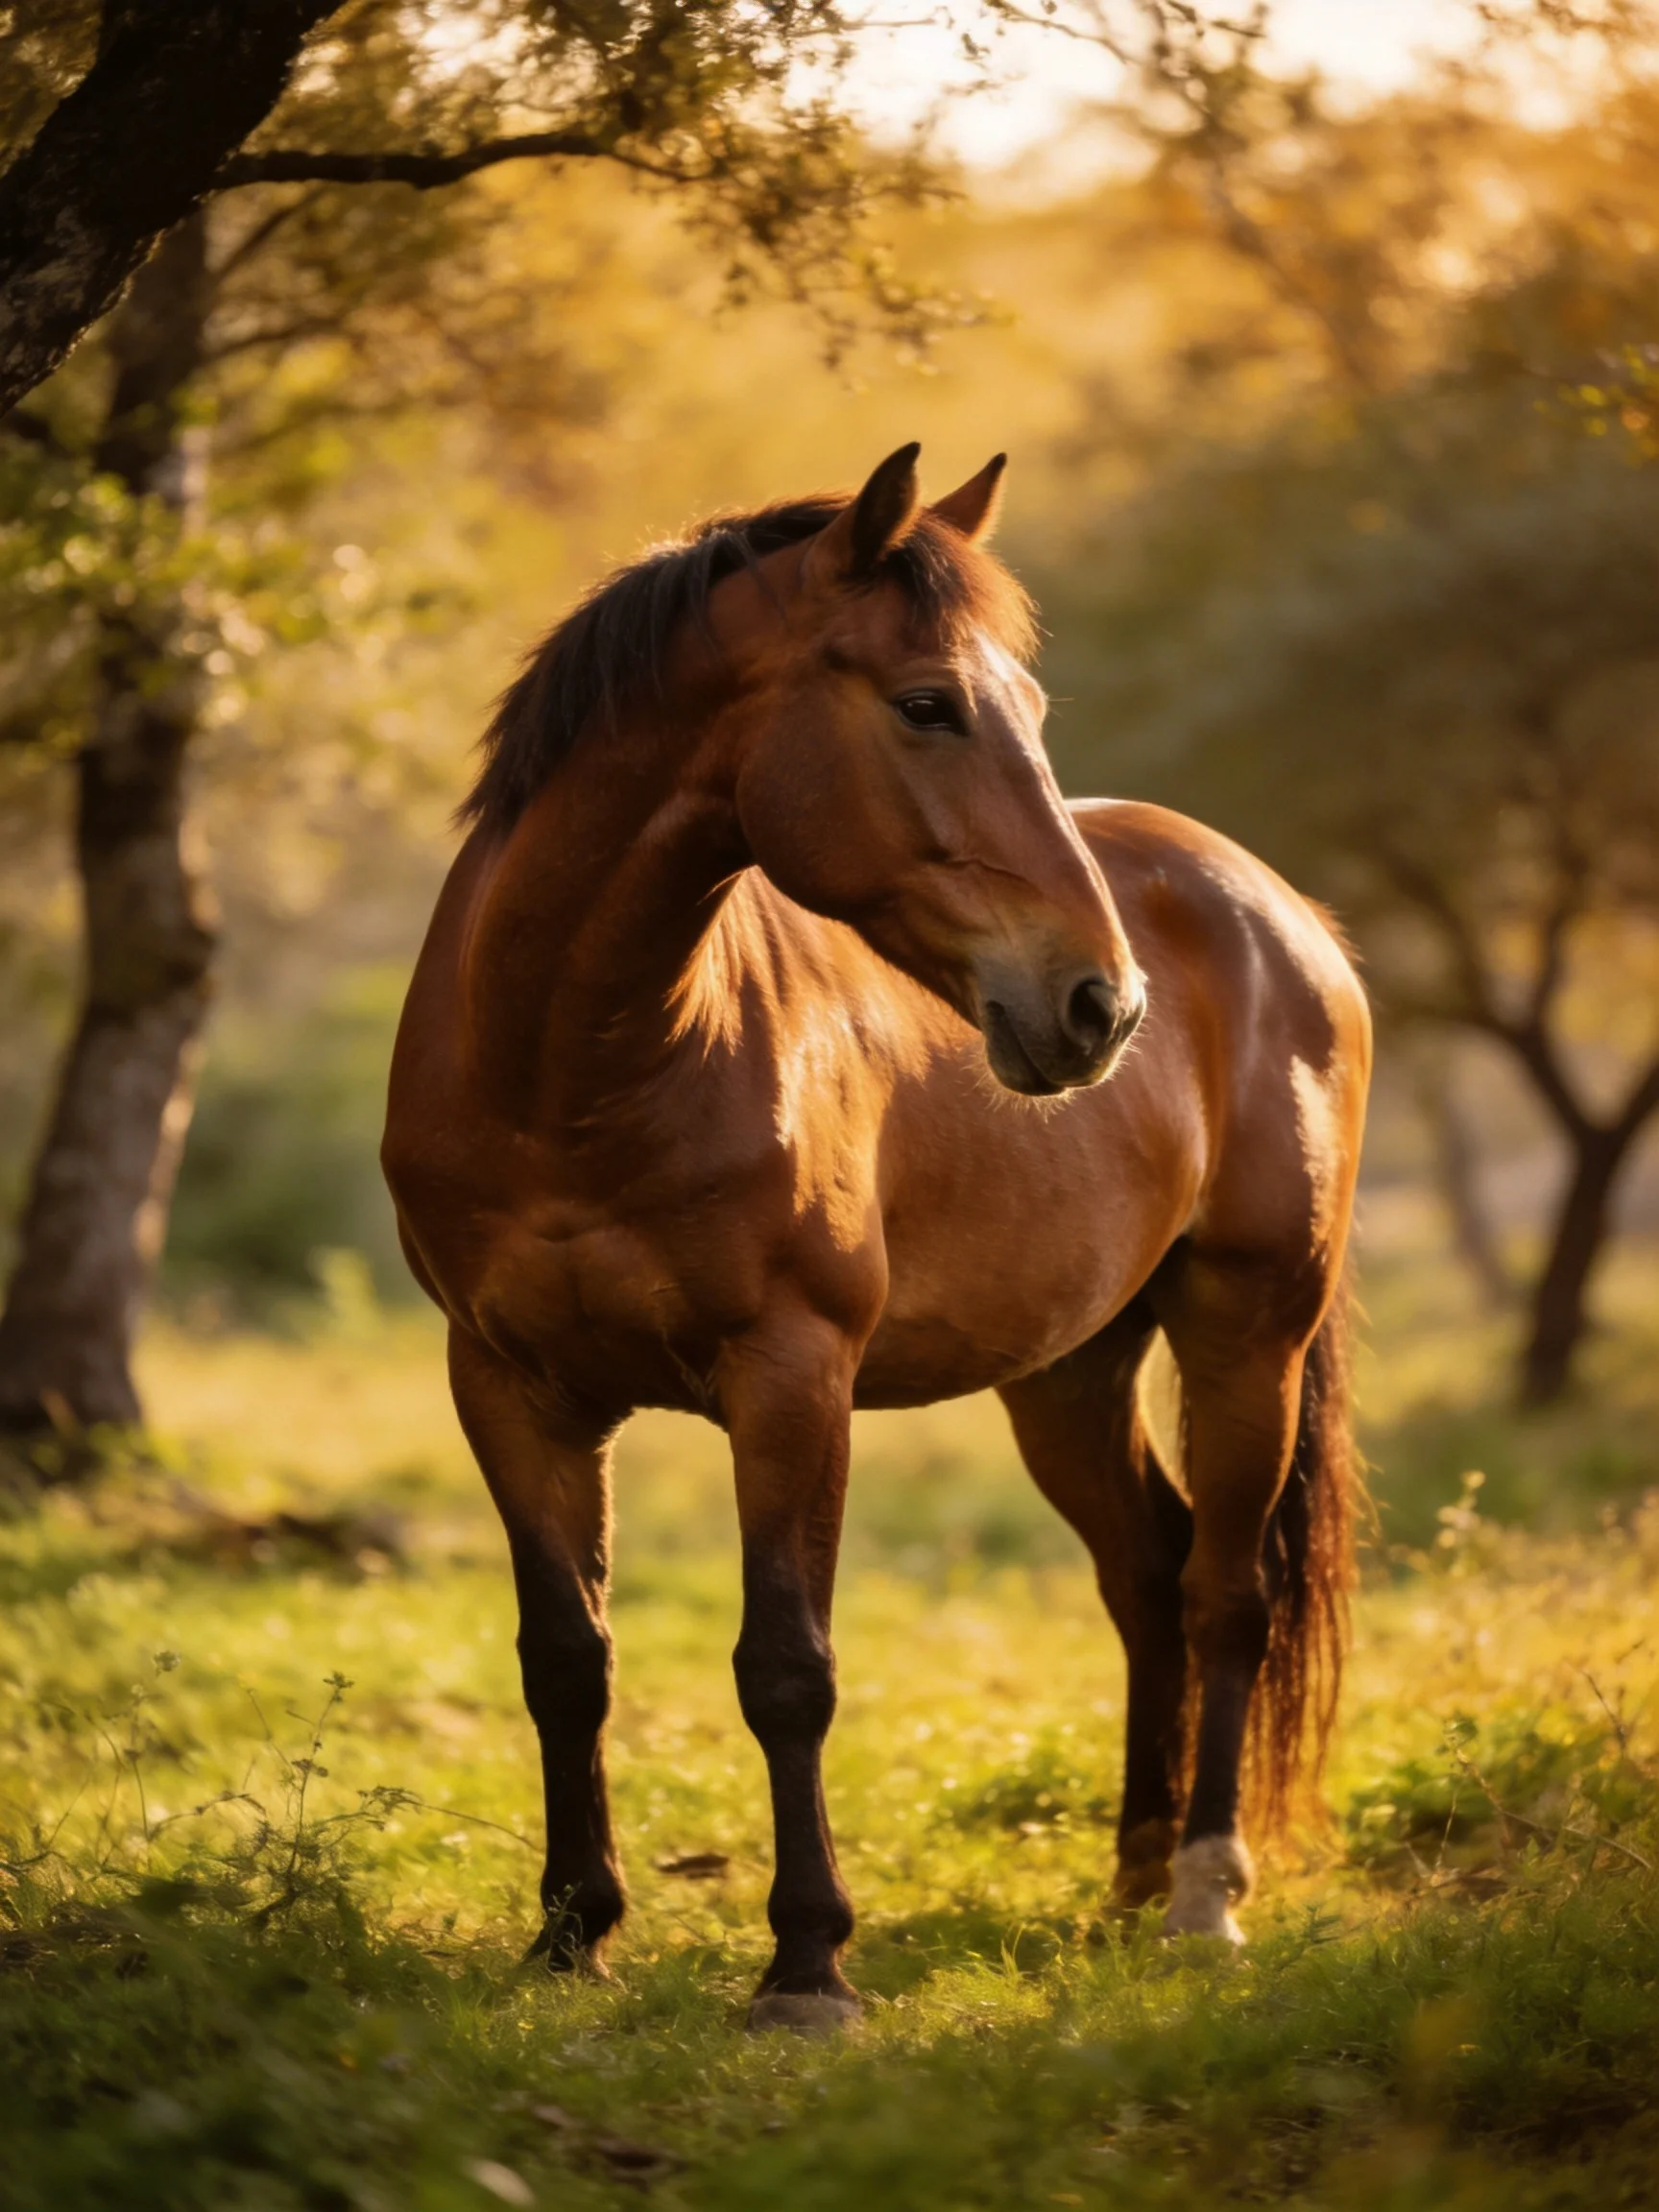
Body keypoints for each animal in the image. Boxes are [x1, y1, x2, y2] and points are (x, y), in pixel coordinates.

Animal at [383, 443, 1371, 2032]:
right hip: (1068, 1375)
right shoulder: (510, 1389)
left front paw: (807, 1968)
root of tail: (1280, 915)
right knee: (1146, 1577)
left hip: (1247, 1333)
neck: (571, 1073)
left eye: (1028, 709)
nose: (1101, 1005)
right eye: (928, 703)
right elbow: (565, 1660)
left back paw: (1203, 1898)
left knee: (1226, 1594)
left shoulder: (792, 1382)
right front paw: (571, 1935)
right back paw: (1131, 1877)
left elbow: (788, 1668)